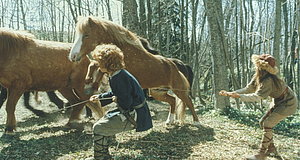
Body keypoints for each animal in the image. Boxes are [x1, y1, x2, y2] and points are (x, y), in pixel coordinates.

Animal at [68, 15, 199, 124]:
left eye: (86, 35)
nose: (72, 56)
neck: (124, 52)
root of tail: (175, 66)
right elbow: (94, 65)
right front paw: (89, 84)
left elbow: (98, 68)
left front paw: (91, 85)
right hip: (158, 92)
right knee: (172, 101)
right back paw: (169, 121)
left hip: (179, 90)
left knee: (189, 102)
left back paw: (196, 122)